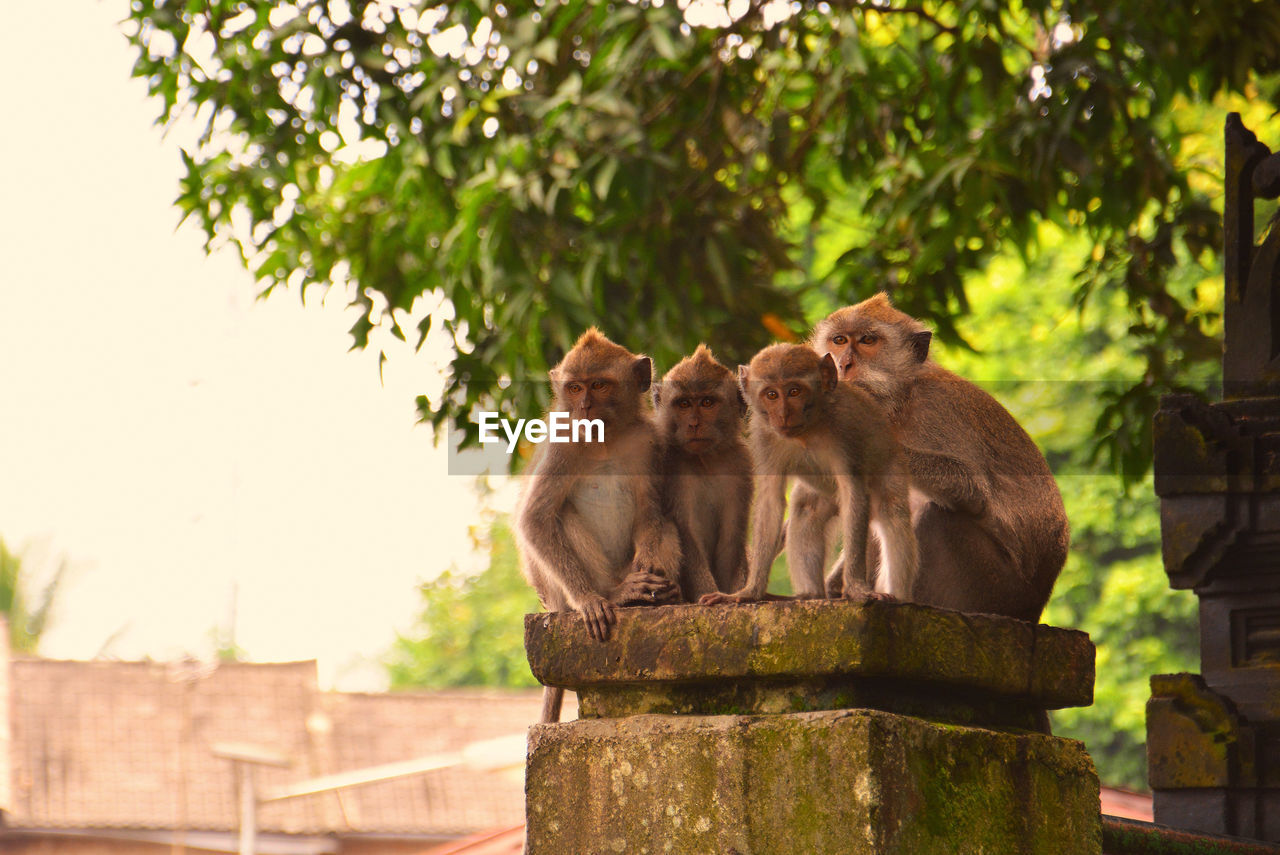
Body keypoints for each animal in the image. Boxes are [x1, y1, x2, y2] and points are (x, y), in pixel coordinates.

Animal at [655, 343, 752, 599]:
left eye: (707, 402)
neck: (705, 460)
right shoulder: (672, 464)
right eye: (684, 404)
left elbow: (731, 539)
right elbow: (687, 535)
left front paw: (728, 597)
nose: (694, 424)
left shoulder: (740, 464)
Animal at [701, 343, 921, 604]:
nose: (783, 414)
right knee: (807, 509)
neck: (807, 430)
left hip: (891, 465)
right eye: (772, 395)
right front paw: (748, 592)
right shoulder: (763, 435)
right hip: (823, 494)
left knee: (892, 511)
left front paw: (856, 588)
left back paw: (900, 597)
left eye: (794, 391)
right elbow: (770, 501)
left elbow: (854, 493)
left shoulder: (845, 429)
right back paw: (809, 594)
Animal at [808, 294, 1070, 622]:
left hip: (992, 586)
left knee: (935, 516)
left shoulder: (935, 412)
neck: (901, 399)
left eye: (868, 340)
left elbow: (973, 490)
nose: (842, 364)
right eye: (839, 340)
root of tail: (1033, 608)